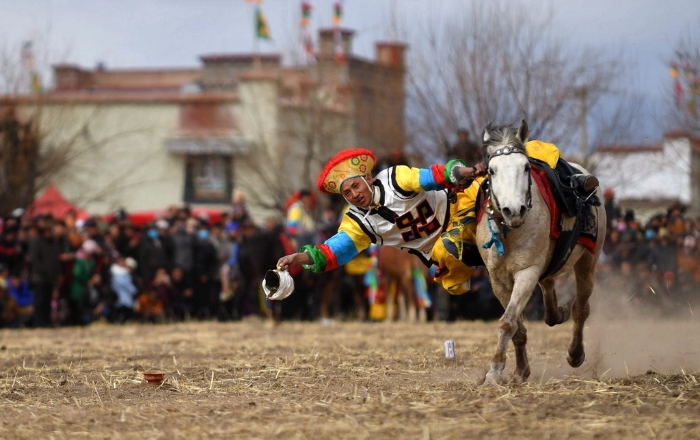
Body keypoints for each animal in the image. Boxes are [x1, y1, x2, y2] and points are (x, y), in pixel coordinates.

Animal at [476, 120, 608, 384]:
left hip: (588, 262)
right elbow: (516, 326)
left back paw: (575, 353)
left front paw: (495, 371)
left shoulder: (526, 273)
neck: (509, 231)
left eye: (525, 167)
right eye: (491, 170)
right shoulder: (497, 280)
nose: (513, 210)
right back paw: (556, 313)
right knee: (549, 287)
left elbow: (507, 323)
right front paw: (519, 370)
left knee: (581, 309)